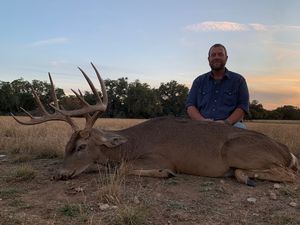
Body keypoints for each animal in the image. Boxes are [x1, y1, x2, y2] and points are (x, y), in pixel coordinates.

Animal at [11, 62, 298, 186]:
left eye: (81, 146)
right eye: (66, 146)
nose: (59, 173)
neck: (130, 146)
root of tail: (286, 152)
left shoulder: (160, 157)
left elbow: (122, 169)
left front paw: (163, 173)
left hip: (236, 150)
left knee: (289, 174)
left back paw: (246, 175)